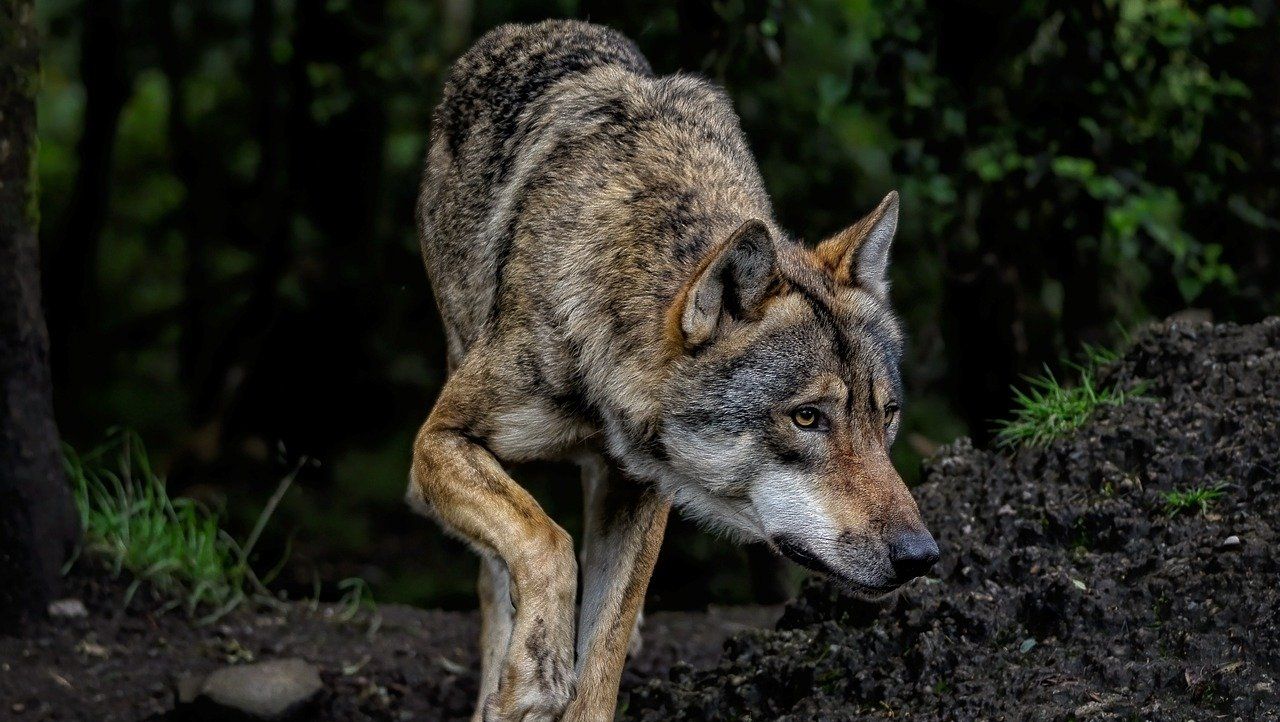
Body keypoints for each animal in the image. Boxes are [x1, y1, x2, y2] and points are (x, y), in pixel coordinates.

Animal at [409, 18, 942, 722]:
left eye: (887, 416)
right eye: (807, 418)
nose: (921, 556)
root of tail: (526, 28)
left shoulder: (642, 489)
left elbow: (601, 657)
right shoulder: (439, 440)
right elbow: (545, 541)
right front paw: (533, 669)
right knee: (497, 571)